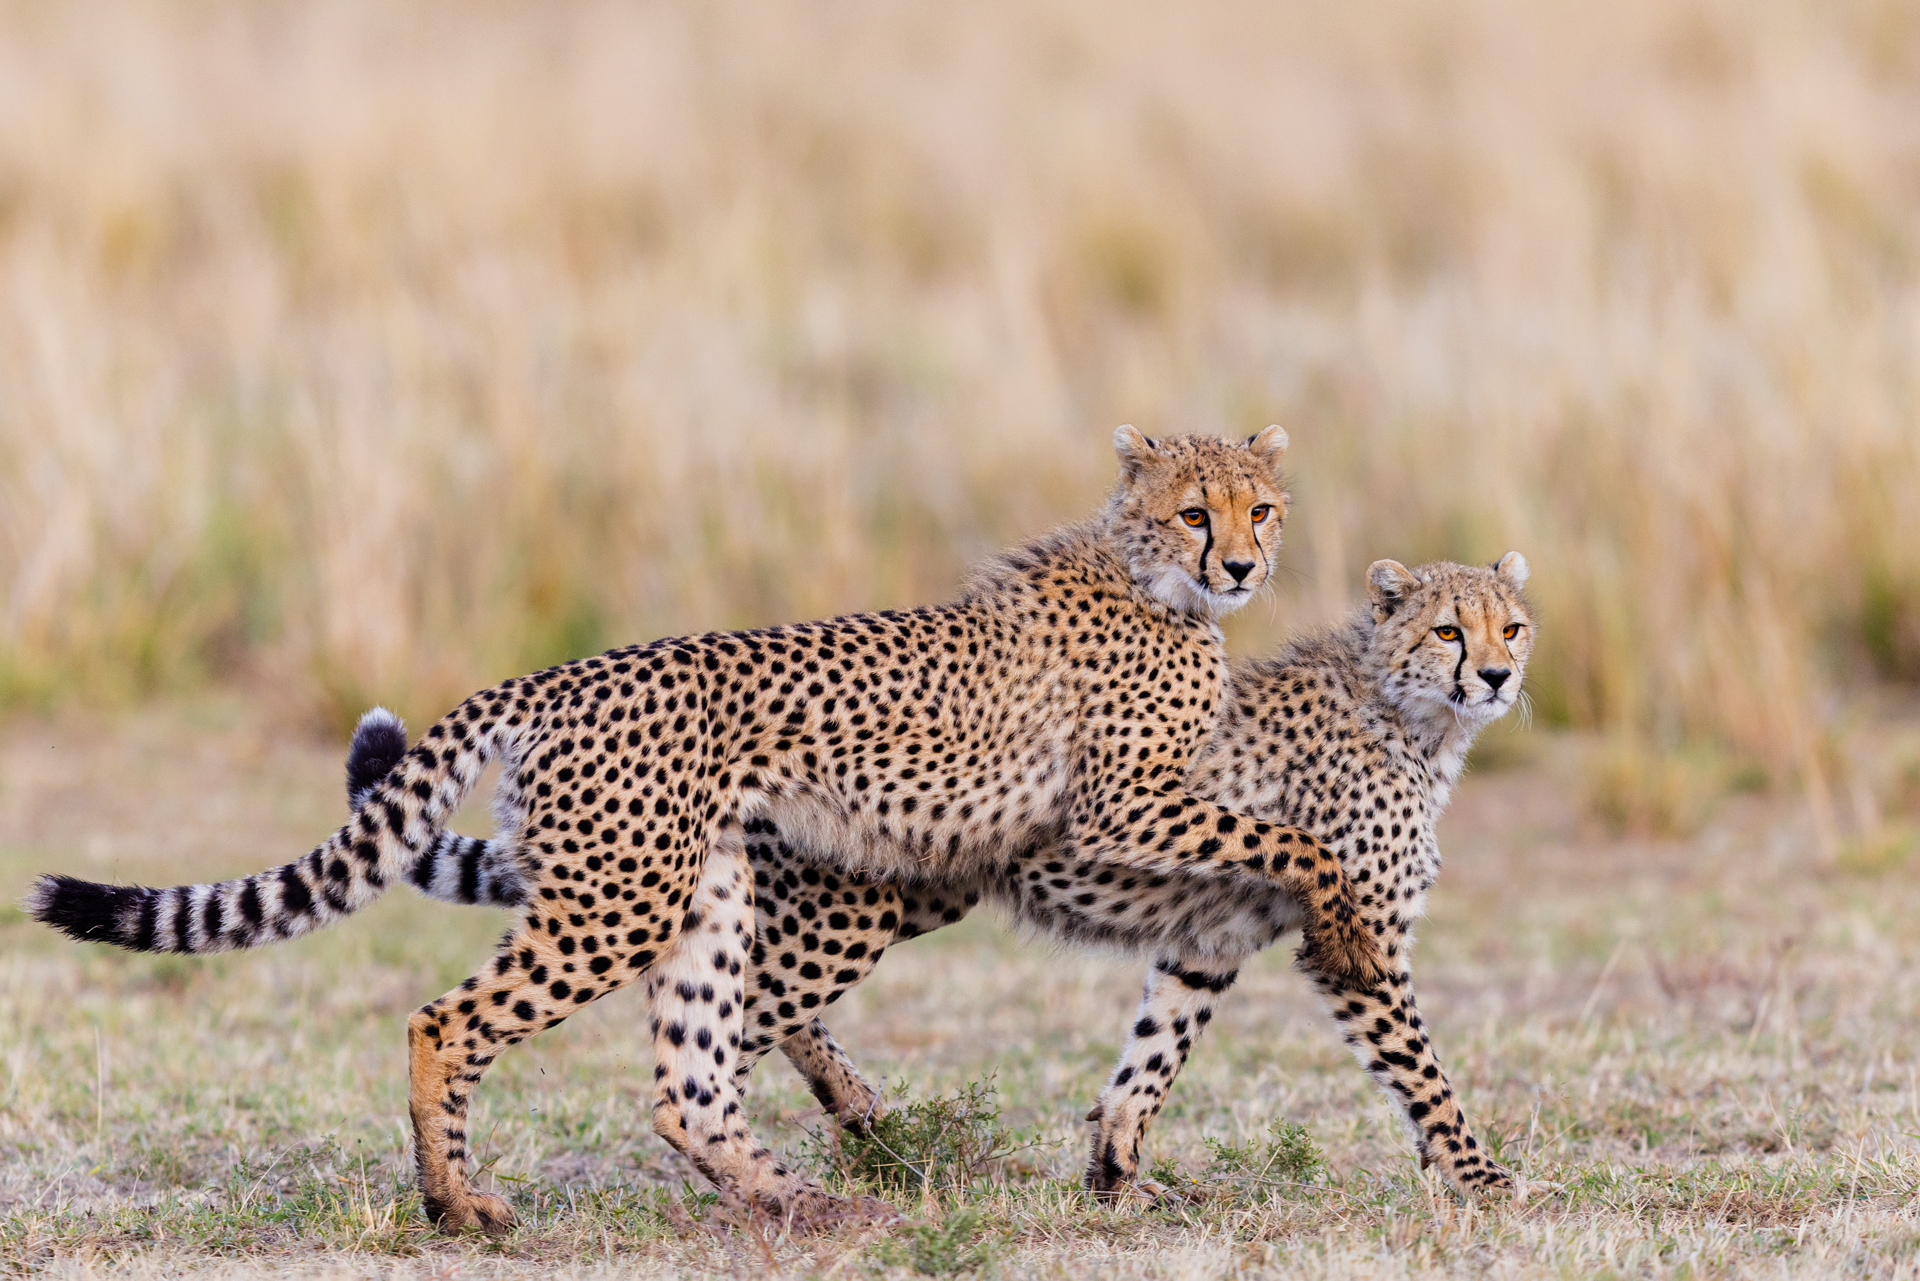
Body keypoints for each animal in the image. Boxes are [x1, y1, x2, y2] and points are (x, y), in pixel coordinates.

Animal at [28, 425, 1386, 1234]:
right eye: (1196, 513)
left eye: (1263, 508)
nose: (1243, 567)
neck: (1152, 583)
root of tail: (557, 674)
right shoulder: (1125, 801)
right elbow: (1297, 846)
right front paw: (1353, 936)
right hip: (617, 905)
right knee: (446, 1023)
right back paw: (460, 1203)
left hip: (703, 897)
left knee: (690, 1083)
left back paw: (800, 1199)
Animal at [370, 551, 1535, 1203]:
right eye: (1448, 627)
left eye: (1511, 624)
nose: (1498, 673)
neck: (1413, 718)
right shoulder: (1359, 950)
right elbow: (1423, 1074)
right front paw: (1481, 1177)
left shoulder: (1206, 945)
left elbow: (1154, 1051)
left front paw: (1115, 1165)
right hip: (848, 906)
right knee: (735, 1034)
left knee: (726, 1037)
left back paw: (849, 1132)